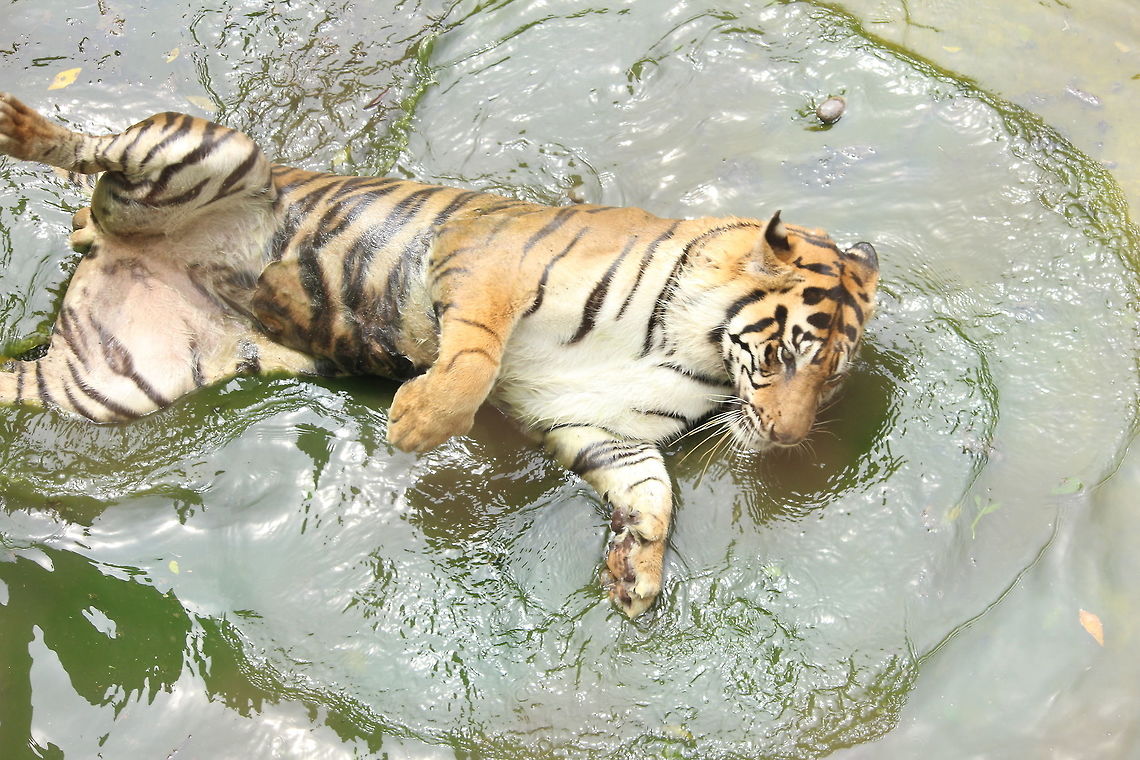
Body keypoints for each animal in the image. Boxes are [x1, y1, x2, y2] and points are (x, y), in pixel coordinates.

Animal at [0, 92, 878, 617]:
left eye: (830, 377)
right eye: (787, 353)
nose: (789, 437)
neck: (689, 349)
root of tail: (113, 246)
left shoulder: (599, 428)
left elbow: (654, 495)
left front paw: (637, 575)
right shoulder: (487, 261)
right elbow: (474, 358)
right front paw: (415, 424)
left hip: (115, 378)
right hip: (215, 149)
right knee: (96, 152)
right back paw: (23, 127)